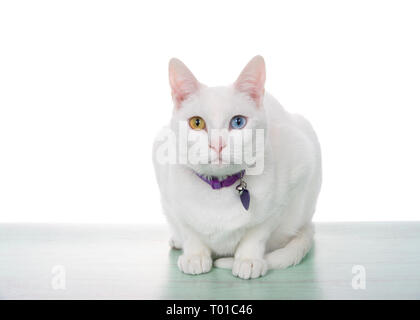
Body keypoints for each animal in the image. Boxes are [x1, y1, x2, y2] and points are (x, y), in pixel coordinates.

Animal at [154, 56, 322, 278]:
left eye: (238, 122)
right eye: (197, 123)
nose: (217, 144)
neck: (218, 191)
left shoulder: (287, 190)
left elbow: (256, 234)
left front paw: (248, 259)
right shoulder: (171, 198)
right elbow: (189, 231)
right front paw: (195, 255)